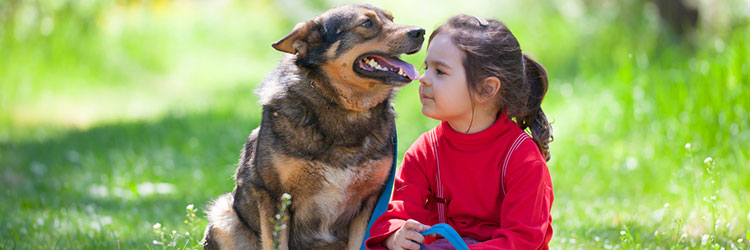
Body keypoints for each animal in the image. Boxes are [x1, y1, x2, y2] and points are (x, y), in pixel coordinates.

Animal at [203, 4, 426, 250]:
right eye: (367, 23)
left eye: (392, 19)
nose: (420, 32)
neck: (343, 107)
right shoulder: (275, 197)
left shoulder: (370, 201)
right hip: (223, 215)